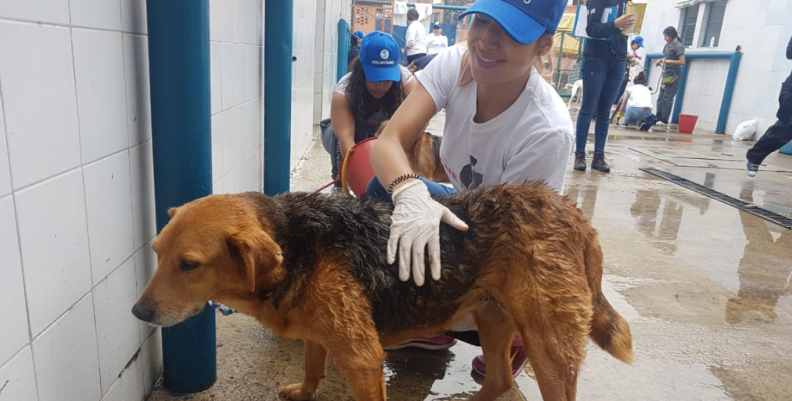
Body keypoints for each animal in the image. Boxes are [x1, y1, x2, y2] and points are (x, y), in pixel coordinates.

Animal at [133, 185, 636, 400]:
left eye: (190, 265)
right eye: (156, 252)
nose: (138, 313)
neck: (296, 244)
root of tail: (571, 212)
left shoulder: (362, 359)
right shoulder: (320, 335)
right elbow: (313, 369)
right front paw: (305, 391)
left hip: (549, 347)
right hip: (493, 319)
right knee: (499, 382)